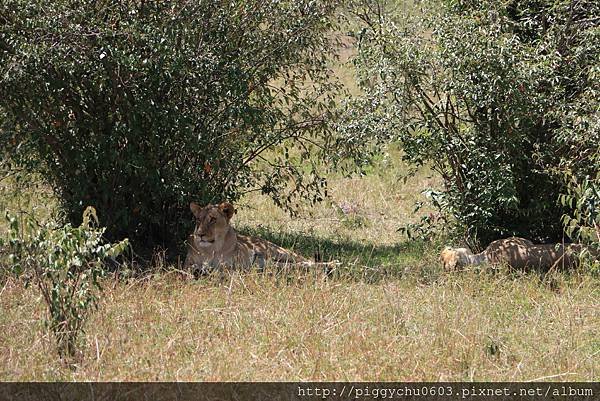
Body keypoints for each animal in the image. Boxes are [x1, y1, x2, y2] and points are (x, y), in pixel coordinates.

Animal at [185, 202, 330, 270]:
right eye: (198, 220)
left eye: (213, 219)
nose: (200, 234)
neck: (212, 249)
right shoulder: (188, 263)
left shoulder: (234, 266)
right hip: (266, 261)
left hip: (279, 252)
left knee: (305, 260)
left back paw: (331, 264)